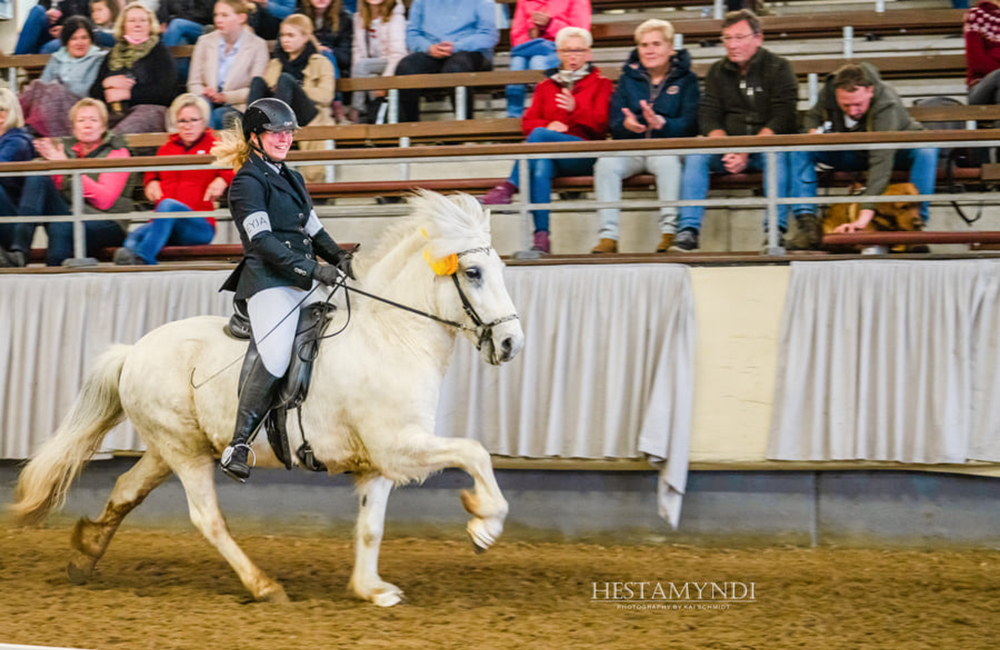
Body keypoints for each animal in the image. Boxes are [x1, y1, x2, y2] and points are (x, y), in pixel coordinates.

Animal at [11, 190, 528, 604]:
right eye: (474, 272)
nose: (511, 344)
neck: (391, 335)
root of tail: (133, 351)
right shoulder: (400, 447)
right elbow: (475, 453)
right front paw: (484, 526)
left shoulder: (380, 461)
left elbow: (371, 525)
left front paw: (370, 589)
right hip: (186, 453)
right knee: (207, 519)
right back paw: (263, 586)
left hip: (170, 447)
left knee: (125, 490)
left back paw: (85, 554)